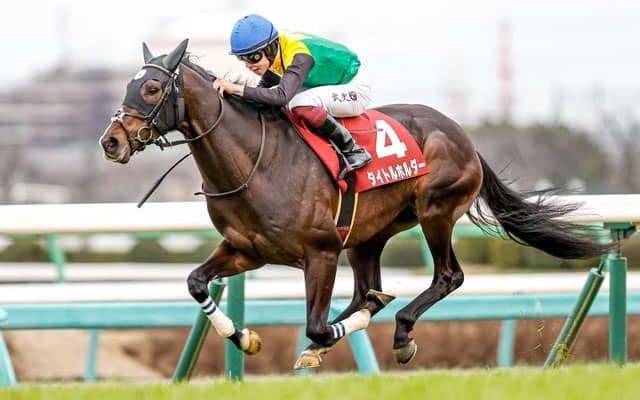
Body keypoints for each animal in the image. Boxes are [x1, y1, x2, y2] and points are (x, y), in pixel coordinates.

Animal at [99, 39, 611, 369]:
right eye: (126, 86)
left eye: (150, 89)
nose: (111, 141)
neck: (255, 163)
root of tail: (461, 134)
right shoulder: (246, 250)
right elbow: (195, 283)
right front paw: (244, 337)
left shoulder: (321, 252)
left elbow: (316, 324)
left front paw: (328, 335)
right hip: (369, 236)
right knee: (369, 288)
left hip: (435, 212)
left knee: (446, 276)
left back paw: (401, 331)